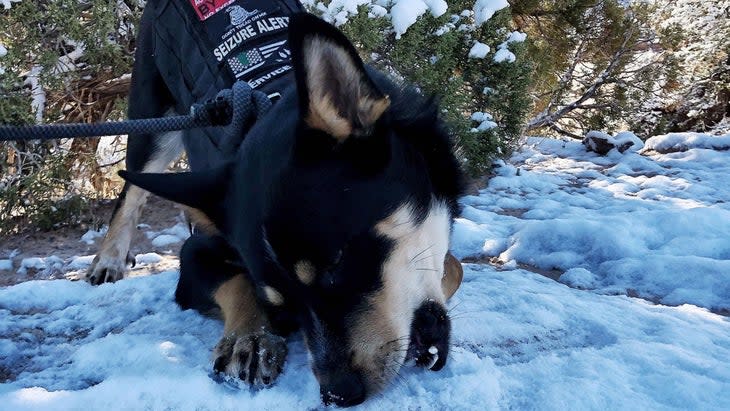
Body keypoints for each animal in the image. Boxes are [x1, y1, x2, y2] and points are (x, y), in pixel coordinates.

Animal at [86, 3, 460, 408]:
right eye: (282, 306)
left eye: (336, 264)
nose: (338, 393)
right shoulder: (195, 254)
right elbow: (237, 283)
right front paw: (251, 337)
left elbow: (452, 267)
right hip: (152, 124)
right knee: (130, 194)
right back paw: (108, 261)